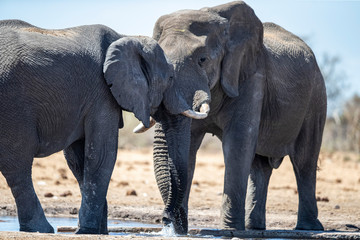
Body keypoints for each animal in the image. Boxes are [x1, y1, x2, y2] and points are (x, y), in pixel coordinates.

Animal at [0, 19, 208, 234]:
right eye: (171, 78)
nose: (166, 220)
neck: (126, 37)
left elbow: (78, 160)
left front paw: (97, 231)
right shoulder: (101, 93)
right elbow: (102, 155)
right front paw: (88, 231)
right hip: (12, 106)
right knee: (18, 165)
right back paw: (42, 229)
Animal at [134, 0, 326, 234]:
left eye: (202, 59)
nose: (167, 220)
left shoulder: (250, 77)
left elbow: (237, 143)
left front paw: (230, 231)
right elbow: (188, 147)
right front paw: (183, 230)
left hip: (316, 99)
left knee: (304, 161)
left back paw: (309, 228)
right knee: (260, 167)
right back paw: (255, 228)